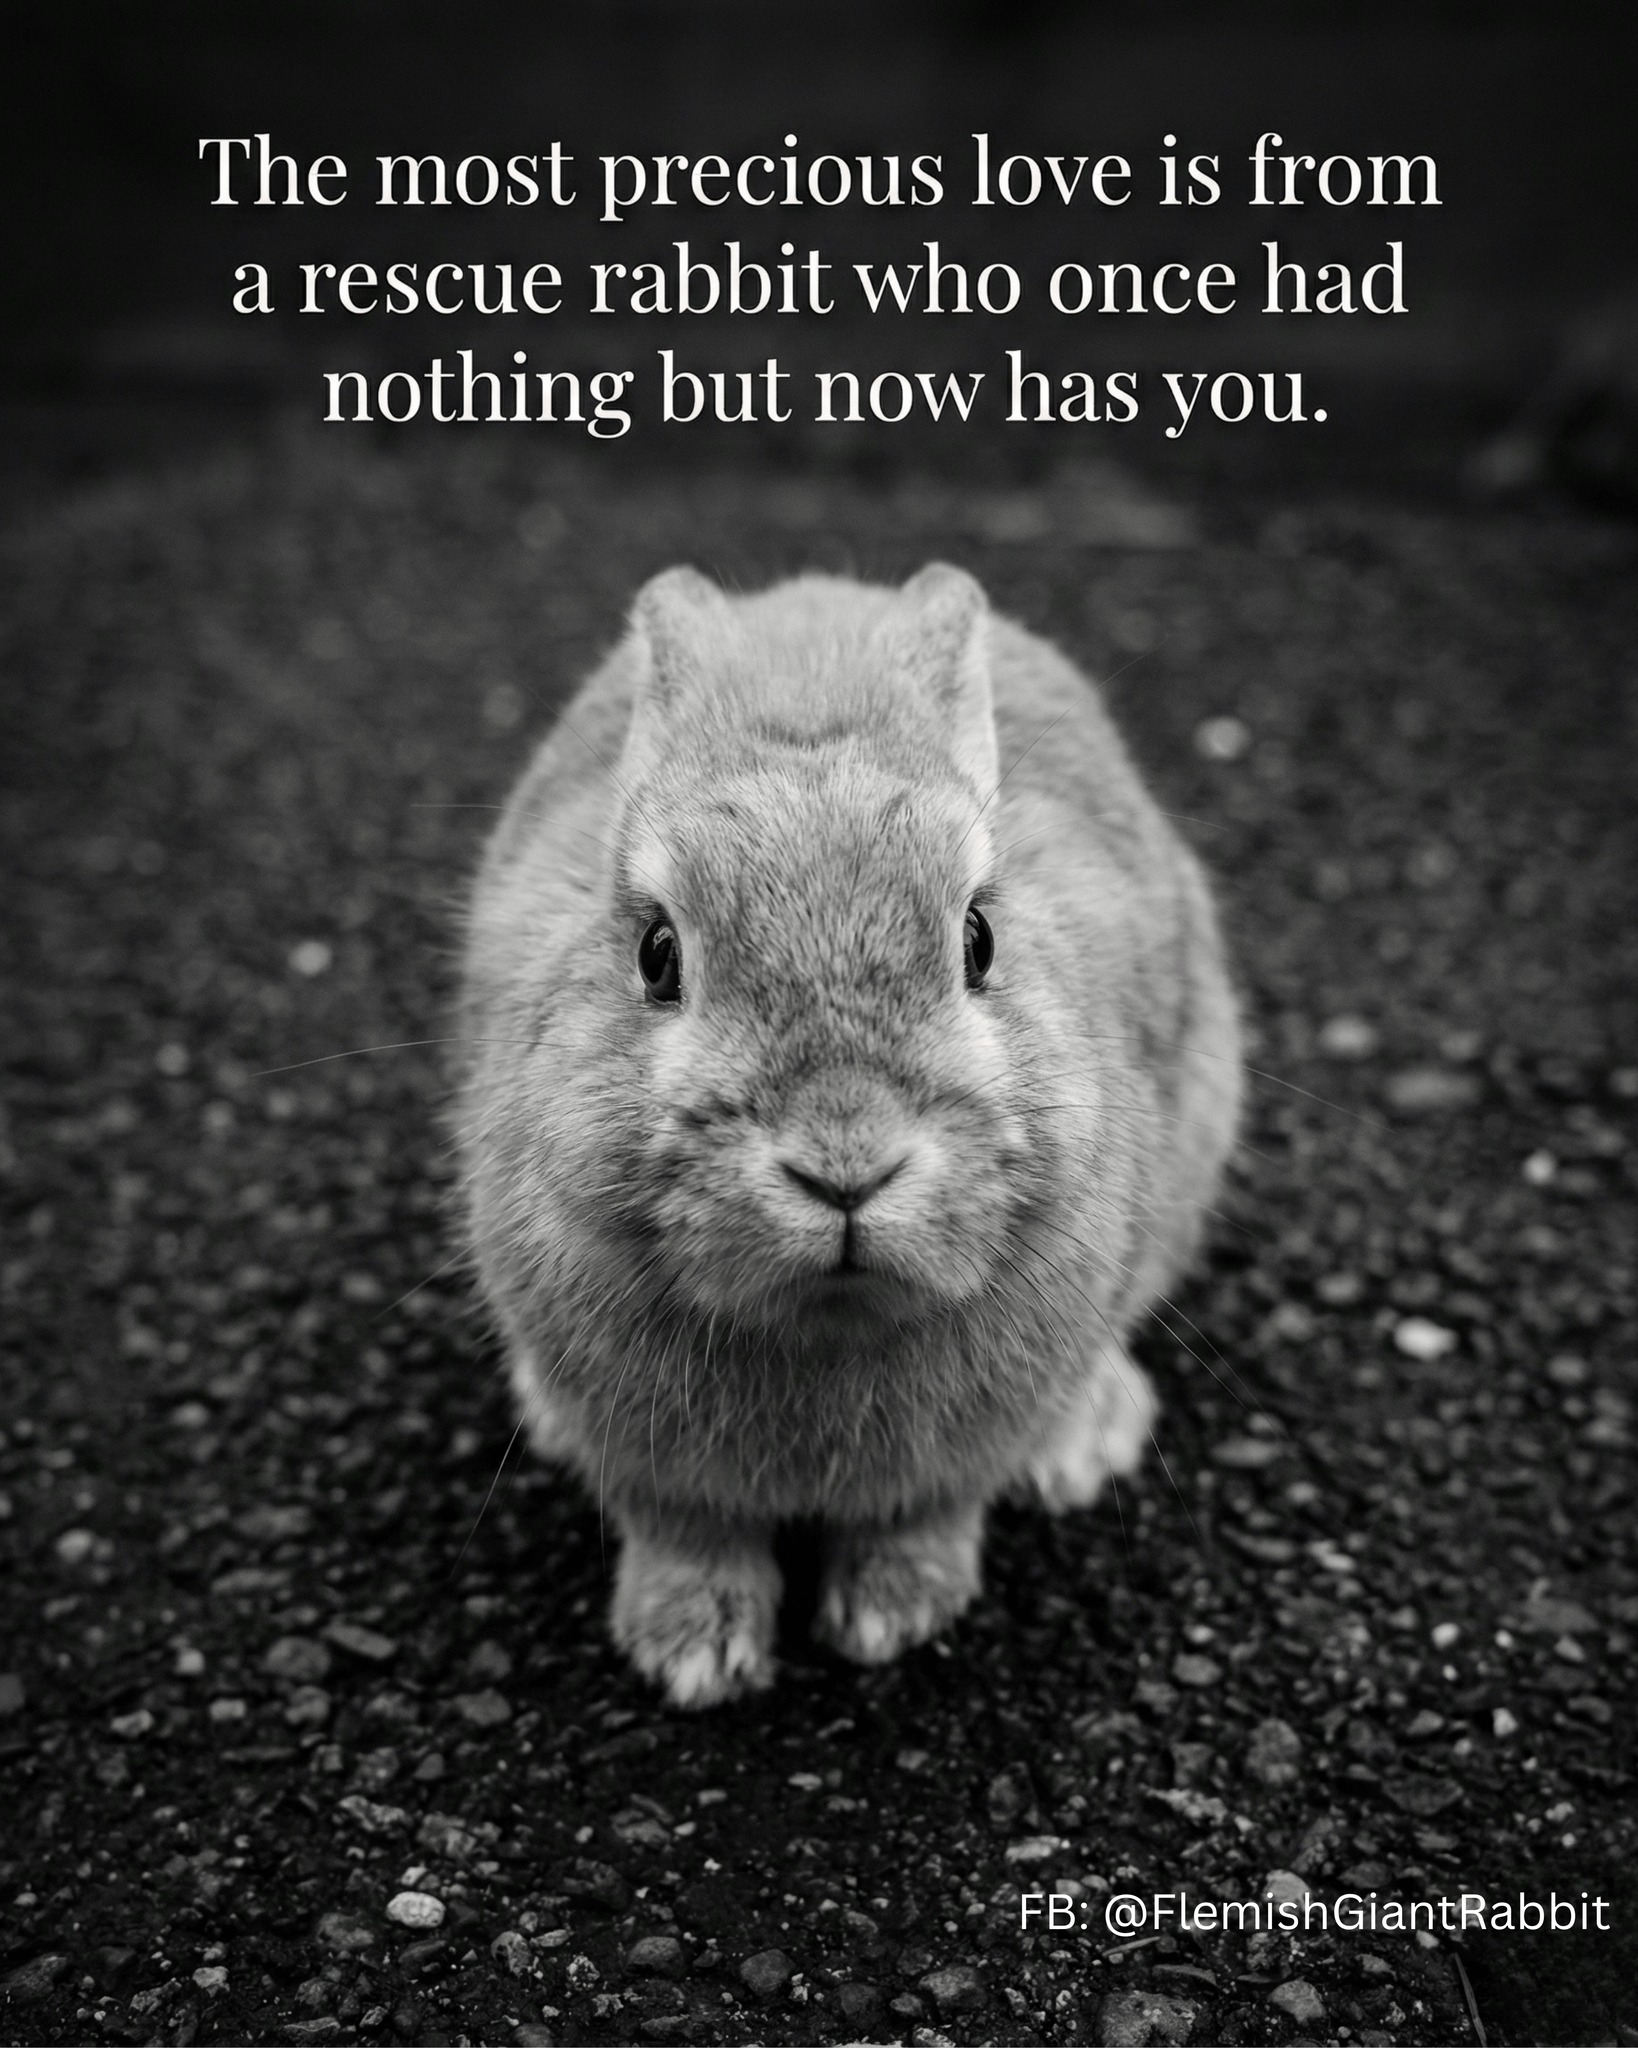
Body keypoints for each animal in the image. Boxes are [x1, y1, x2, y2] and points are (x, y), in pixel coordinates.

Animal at [454, 562, 1241, 1708]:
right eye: (656, 955)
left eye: (979, 939)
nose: (846, 1167)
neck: (827, 1320)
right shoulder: (648, 1457)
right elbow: (685, 1531)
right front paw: (691, 1651)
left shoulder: (960, 1452)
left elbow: (926, 1514)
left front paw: (891, 1618)